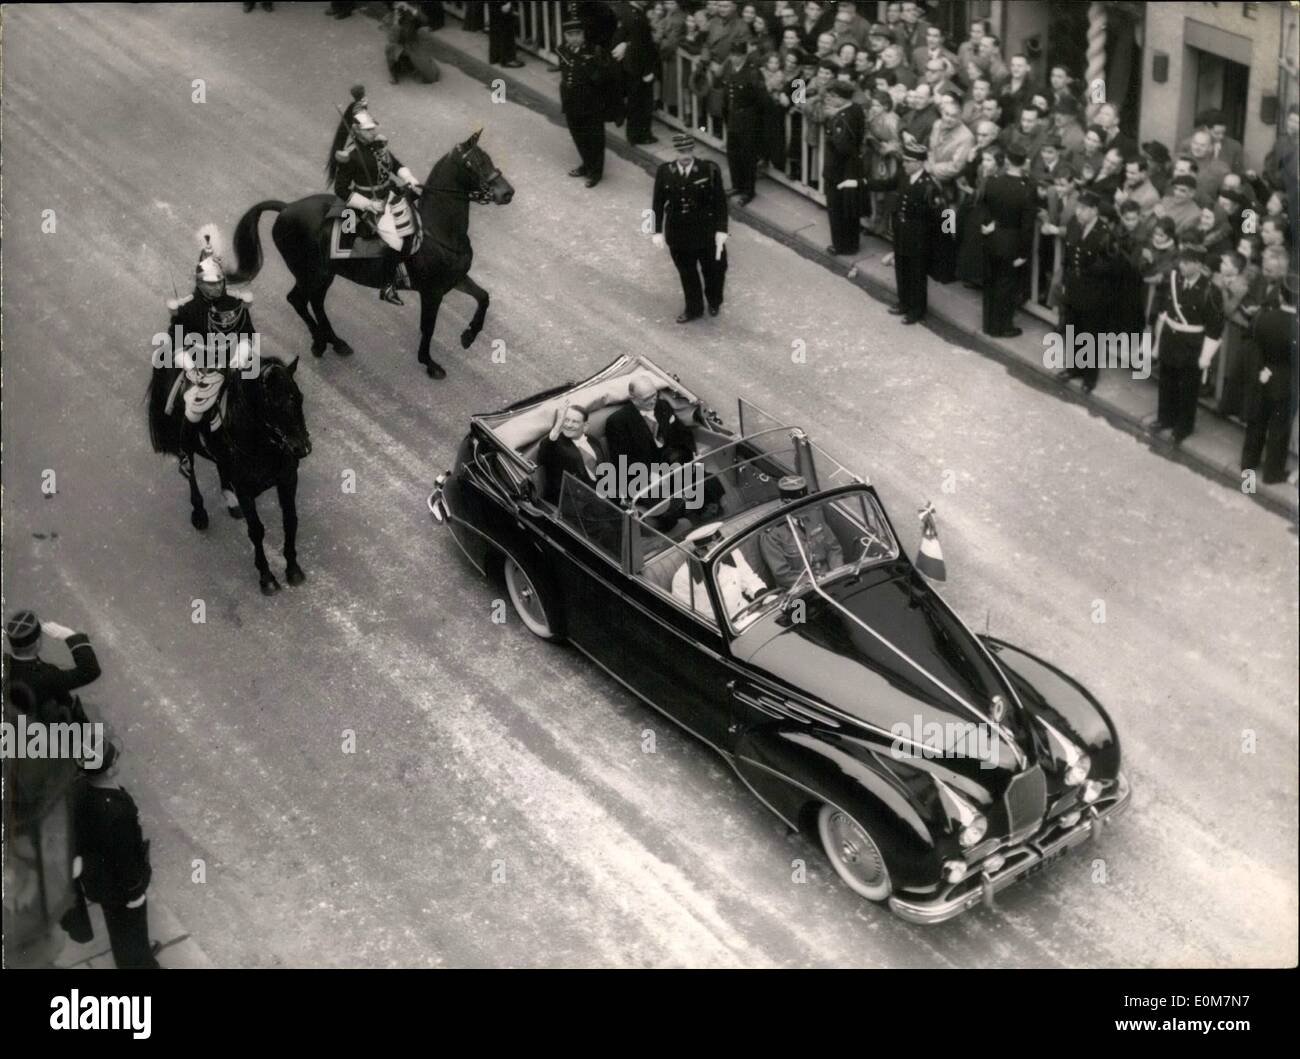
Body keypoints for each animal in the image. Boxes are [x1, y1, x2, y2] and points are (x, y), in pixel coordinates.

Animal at [148, 361, 313, 597]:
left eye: (299, 397)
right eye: (273, 404)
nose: (302, 447)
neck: (263, 446)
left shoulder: (288, 480)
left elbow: (290, 521)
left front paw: (293, 570)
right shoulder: (245, 490)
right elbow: (256, 530)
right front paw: (267, 578)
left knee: (220, 467)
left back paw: (230, 501)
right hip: (186, 445)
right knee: (191, 474)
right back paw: (200, 513)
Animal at [231, 130, 514, 382]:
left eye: (488, 158)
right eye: (472, 163)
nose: (507, 192)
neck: (439, 230)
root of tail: (286, 208)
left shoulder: (455, 280)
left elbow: (483, 297)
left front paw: (469, 336)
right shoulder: (432, 292)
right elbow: (428, 327)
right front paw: (430, 363)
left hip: (323, 275)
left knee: (314, 302)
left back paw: (334, 342)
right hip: (311, 273)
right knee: (299, 300)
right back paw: (321, 342)